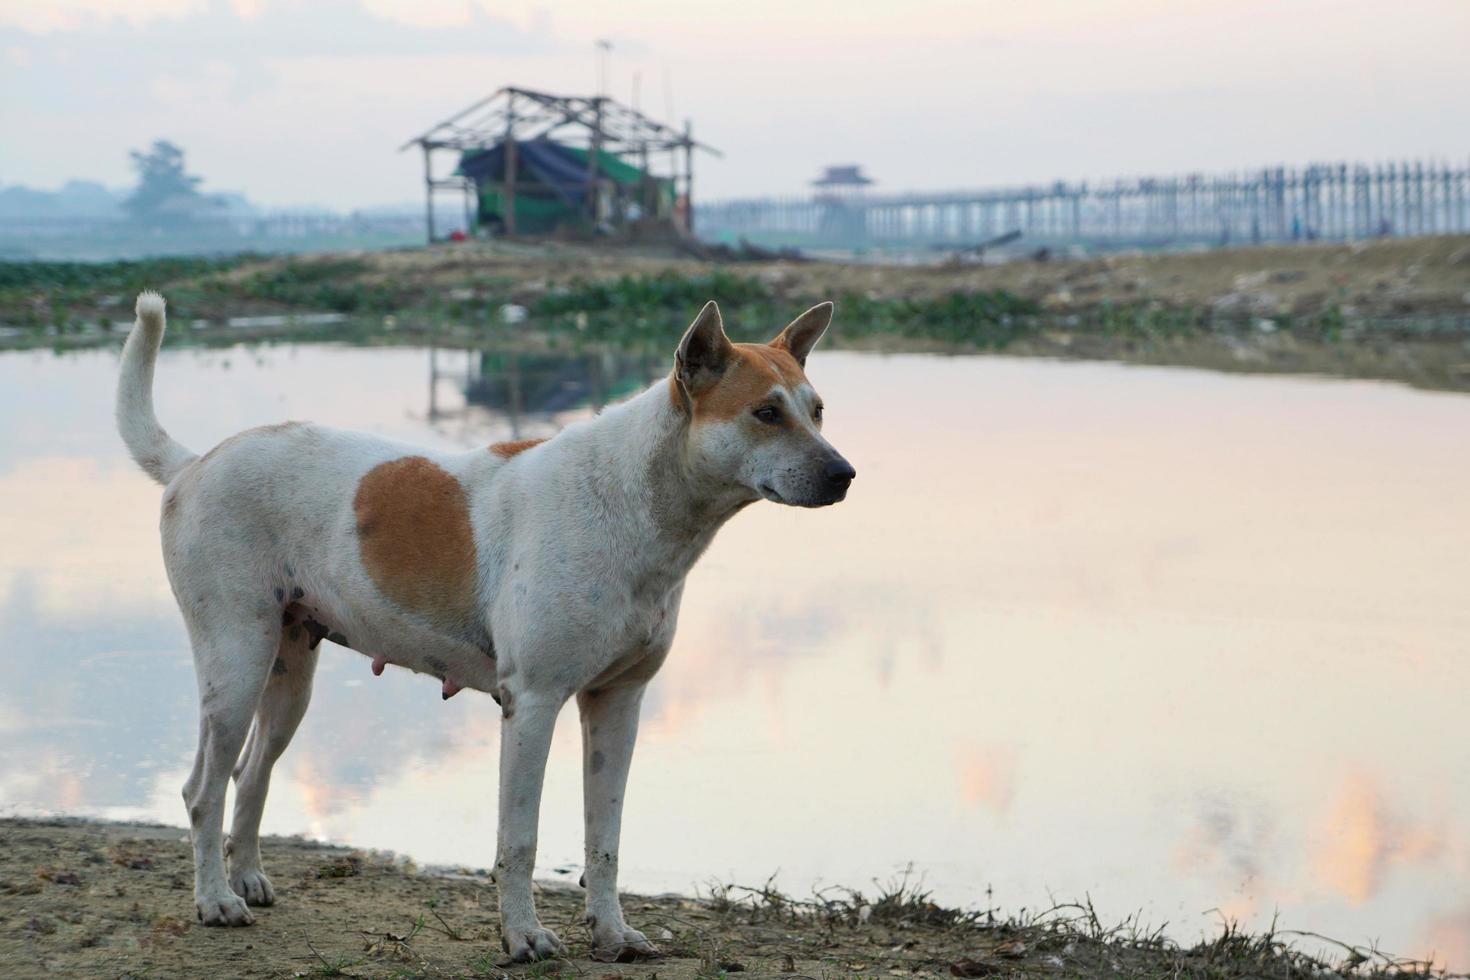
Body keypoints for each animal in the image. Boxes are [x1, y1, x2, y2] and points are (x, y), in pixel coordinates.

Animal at [117, 293, 852, 963]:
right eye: (766, 412)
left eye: (817, 410)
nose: (844, 474)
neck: (633, 501)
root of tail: (193, 463)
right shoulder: (532, 705)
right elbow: (519, 839)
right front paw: (523, 937)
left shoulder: (618, 705)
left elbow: (605, 837)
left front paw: (612, 935)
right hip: (234, 666)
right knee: (203, 789)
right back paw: (216, 900)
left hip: (287, 680)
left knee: (250, 775)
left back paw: (246, 879)